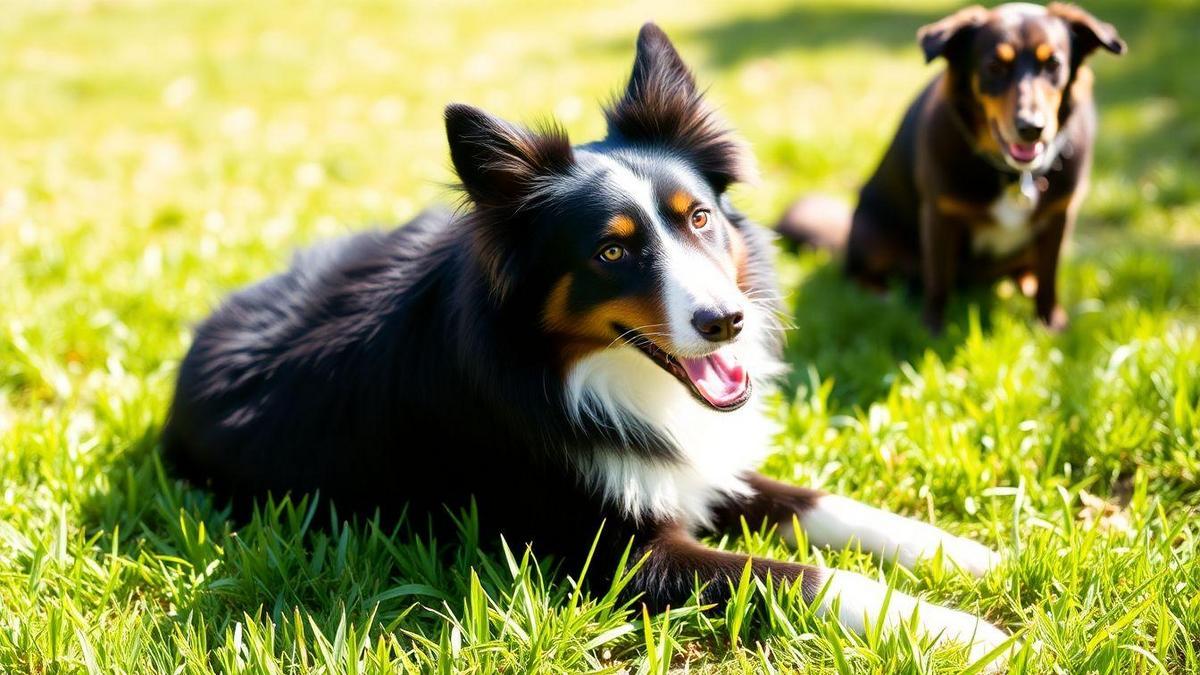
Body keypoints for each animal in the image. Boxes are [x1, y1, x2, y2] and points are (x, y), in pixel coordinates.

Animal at [164, 22, 1012, 667]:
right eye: (611, 251)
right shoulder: (621, 554)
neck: (583, 372)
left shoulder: (695, 462)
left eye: (700, 217)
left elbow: (824, 503)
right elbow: (797, 573)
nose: (727, 321)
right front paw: (965, 629)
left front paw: (974, 554)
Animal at [777, 3, 1123, 331]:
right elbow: (938, 282)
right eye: (994, 67)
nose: (1032, 128)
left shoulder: (1059, 217)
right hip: (870, 233)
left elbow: (1049, 279)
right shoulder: (939, 216)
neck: (1012, 174)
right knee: (860, 274)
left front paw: (1050, 324)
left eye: (1053, 64)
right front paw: (933, 329)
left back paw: (1024, 283)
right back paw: (882, 294)